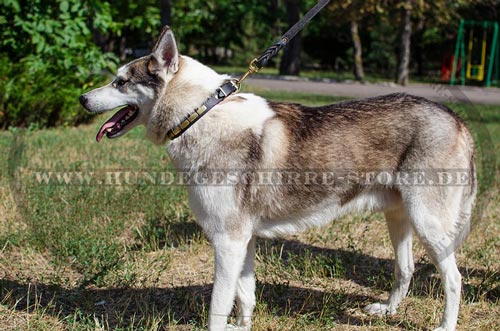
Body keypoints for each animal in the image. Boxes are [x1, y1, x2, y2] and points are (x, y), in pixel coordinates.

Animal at [81, 27, 476, 331]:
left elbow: (217, 308)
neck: (200, 114)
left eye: (121, 82)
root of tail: (455, 117)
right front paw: (242, 328)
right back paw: (387, 311)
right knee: (406, 269)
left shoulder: (227, 242)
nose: (83, 98)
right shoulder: (243, 242)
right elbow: (245, 297)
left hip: (428, 225)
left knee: (454, 280)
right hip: (399, 219)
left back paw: (445, 326)